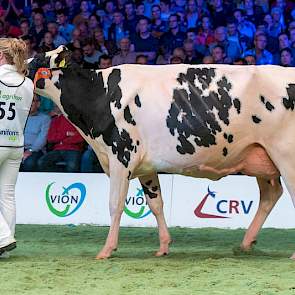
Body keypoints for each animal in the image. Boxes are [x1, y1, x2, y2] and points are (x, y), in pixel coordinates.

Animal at [29, 47, 295, 260]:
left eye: (35, 59)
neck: (100, 95)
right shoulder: (145, 167)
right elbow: (155, 204)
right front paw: (164, 246)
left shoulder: (121, 157)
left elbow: (115, 204)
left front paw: (106, 250)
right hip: (261, 157)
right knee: (270, 195)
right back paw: (245, 244)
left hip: (285, 156)